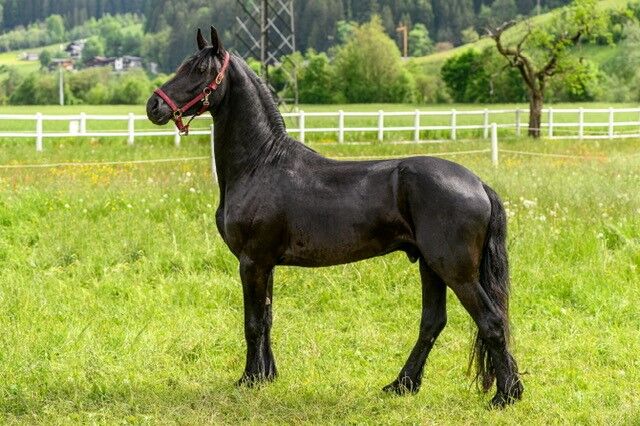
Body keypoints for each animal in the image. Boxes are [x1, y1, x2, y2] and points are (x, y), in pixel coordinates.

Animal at [148, 27, 524, 410]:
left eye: (200, 70)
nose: (154, 106)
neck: (260, 163)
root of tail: (478, 184)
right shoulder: (265, 264)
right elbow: (267, 318)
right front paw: (267, 376)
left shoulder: (252, 261)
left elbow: (252, 322)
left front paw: (249, 379)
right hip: (431, 266)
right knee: (433, 322)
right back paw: (402, 384)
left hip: (455, 270)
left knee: (491, 321)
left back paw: (504, 395)